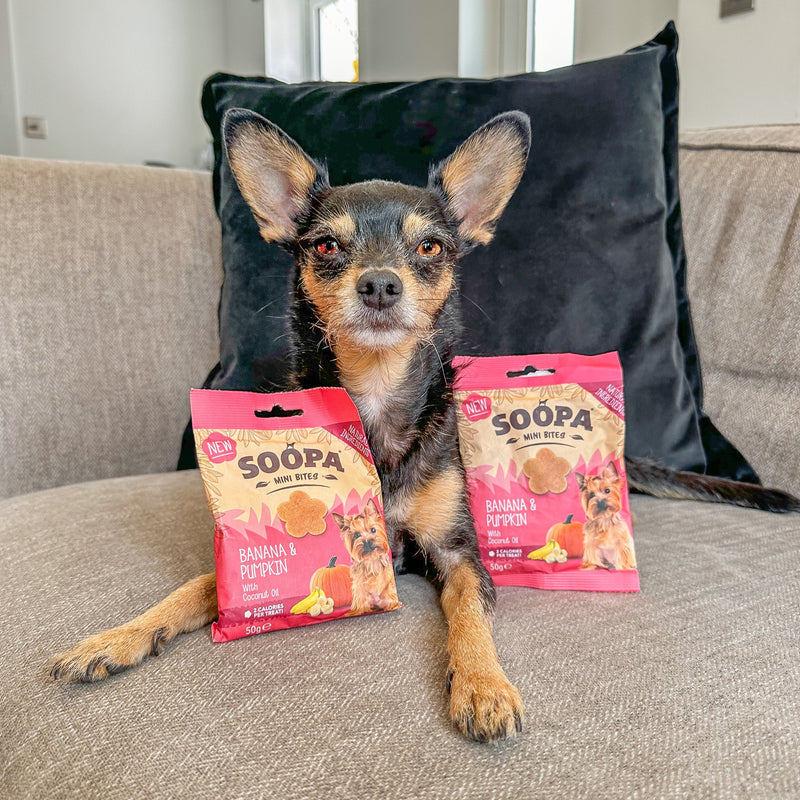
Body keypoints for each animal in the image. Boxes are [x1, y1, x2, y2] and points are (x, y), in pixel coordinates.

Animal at [49, 108, 799, 744]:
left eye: (432, 248)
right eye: (326, 246)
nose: (380, 283)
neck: (379, 397)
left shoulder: (458, 553)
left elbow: (468, 616)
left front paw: (483, 687)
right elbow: (197, 586)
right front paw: (114, 639)